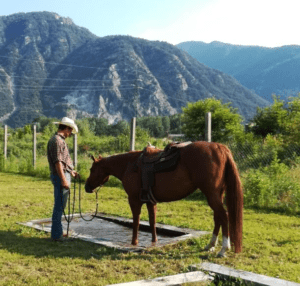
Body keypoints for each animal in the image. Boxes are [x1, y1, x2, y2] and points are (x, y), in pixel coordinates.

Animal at [85, 141, 244, 256]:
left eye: (92, 169)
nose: (86, 187)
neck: (129, 165)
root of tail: (220, 148)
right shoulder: (150, 200)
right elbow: (152, 221)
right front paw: (154, 242)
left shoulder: (134, 200)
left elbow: (136, 221)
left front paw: (134, 242)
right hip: (217, 194)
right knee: (218, 217)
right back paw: (210, 245)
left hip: (211, 194)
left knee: (224, 216)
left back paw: (223, 249)